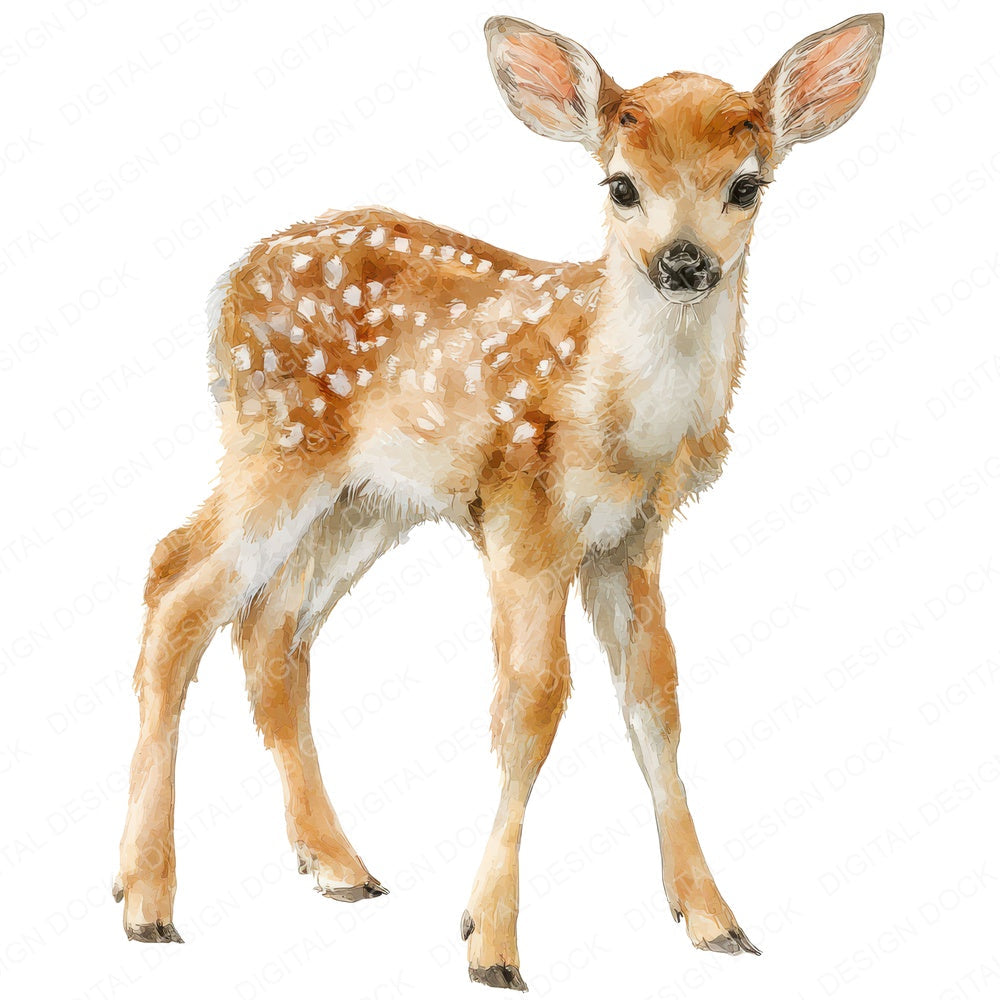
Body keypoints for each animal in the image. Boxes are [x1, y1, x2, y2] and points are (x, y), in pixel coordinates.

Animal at [115, 12, 884, 990]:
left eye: (746, 186)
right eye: (621, 185)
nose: (683, 263)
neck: (619, 419)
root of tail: (231, 281)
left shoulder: (633, 536)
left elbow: (655, 697)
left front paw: (713, 919)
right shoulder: (528, 515)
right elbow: (532, 702)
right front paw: (492, 944)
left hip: (367, 501)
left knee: (272, 628)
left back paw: (338, 866)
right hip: (276, 445)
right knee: (176, 584)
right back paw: (147, 900)